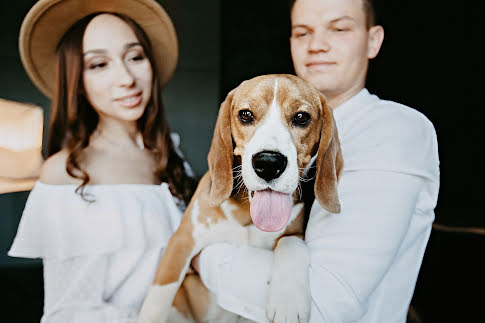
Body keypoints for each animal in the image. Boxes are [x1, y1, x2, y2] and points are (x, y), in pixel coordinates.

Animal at [135, 74, 340, 323]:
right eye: (246, 114)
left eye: (301, 117)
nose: (268, 163)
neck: (247, 214)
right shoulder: (181, 243)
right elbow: (157, 301)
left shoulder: (295, 233)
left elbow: (291, 242)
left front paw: (288, 300)